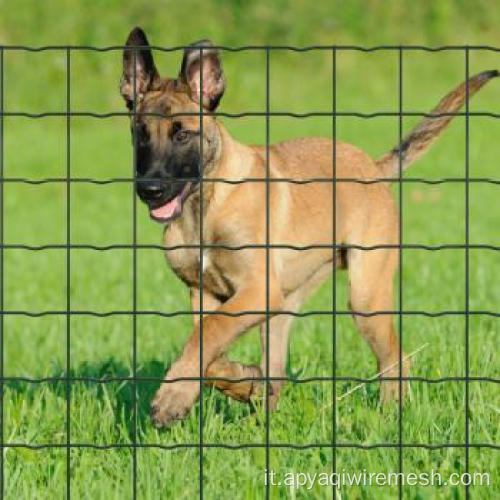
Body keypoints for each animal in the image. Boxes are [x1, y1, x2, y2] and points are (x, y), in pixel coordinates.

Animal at [120, 26, 496, 426]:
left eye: (182, 134)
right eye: (140, 133)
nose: (150, 190)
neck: (205, 206)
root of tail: (374, 168)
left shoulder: (257, 290)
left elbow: (209, 333)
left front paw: (172, 398)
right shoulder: (207, 294)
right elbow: (207, 347)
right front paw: (239, 380)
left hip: (364, 297)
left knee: (396, 358)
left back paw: (389, 415)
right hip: (286, 304)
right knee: (277, 371)